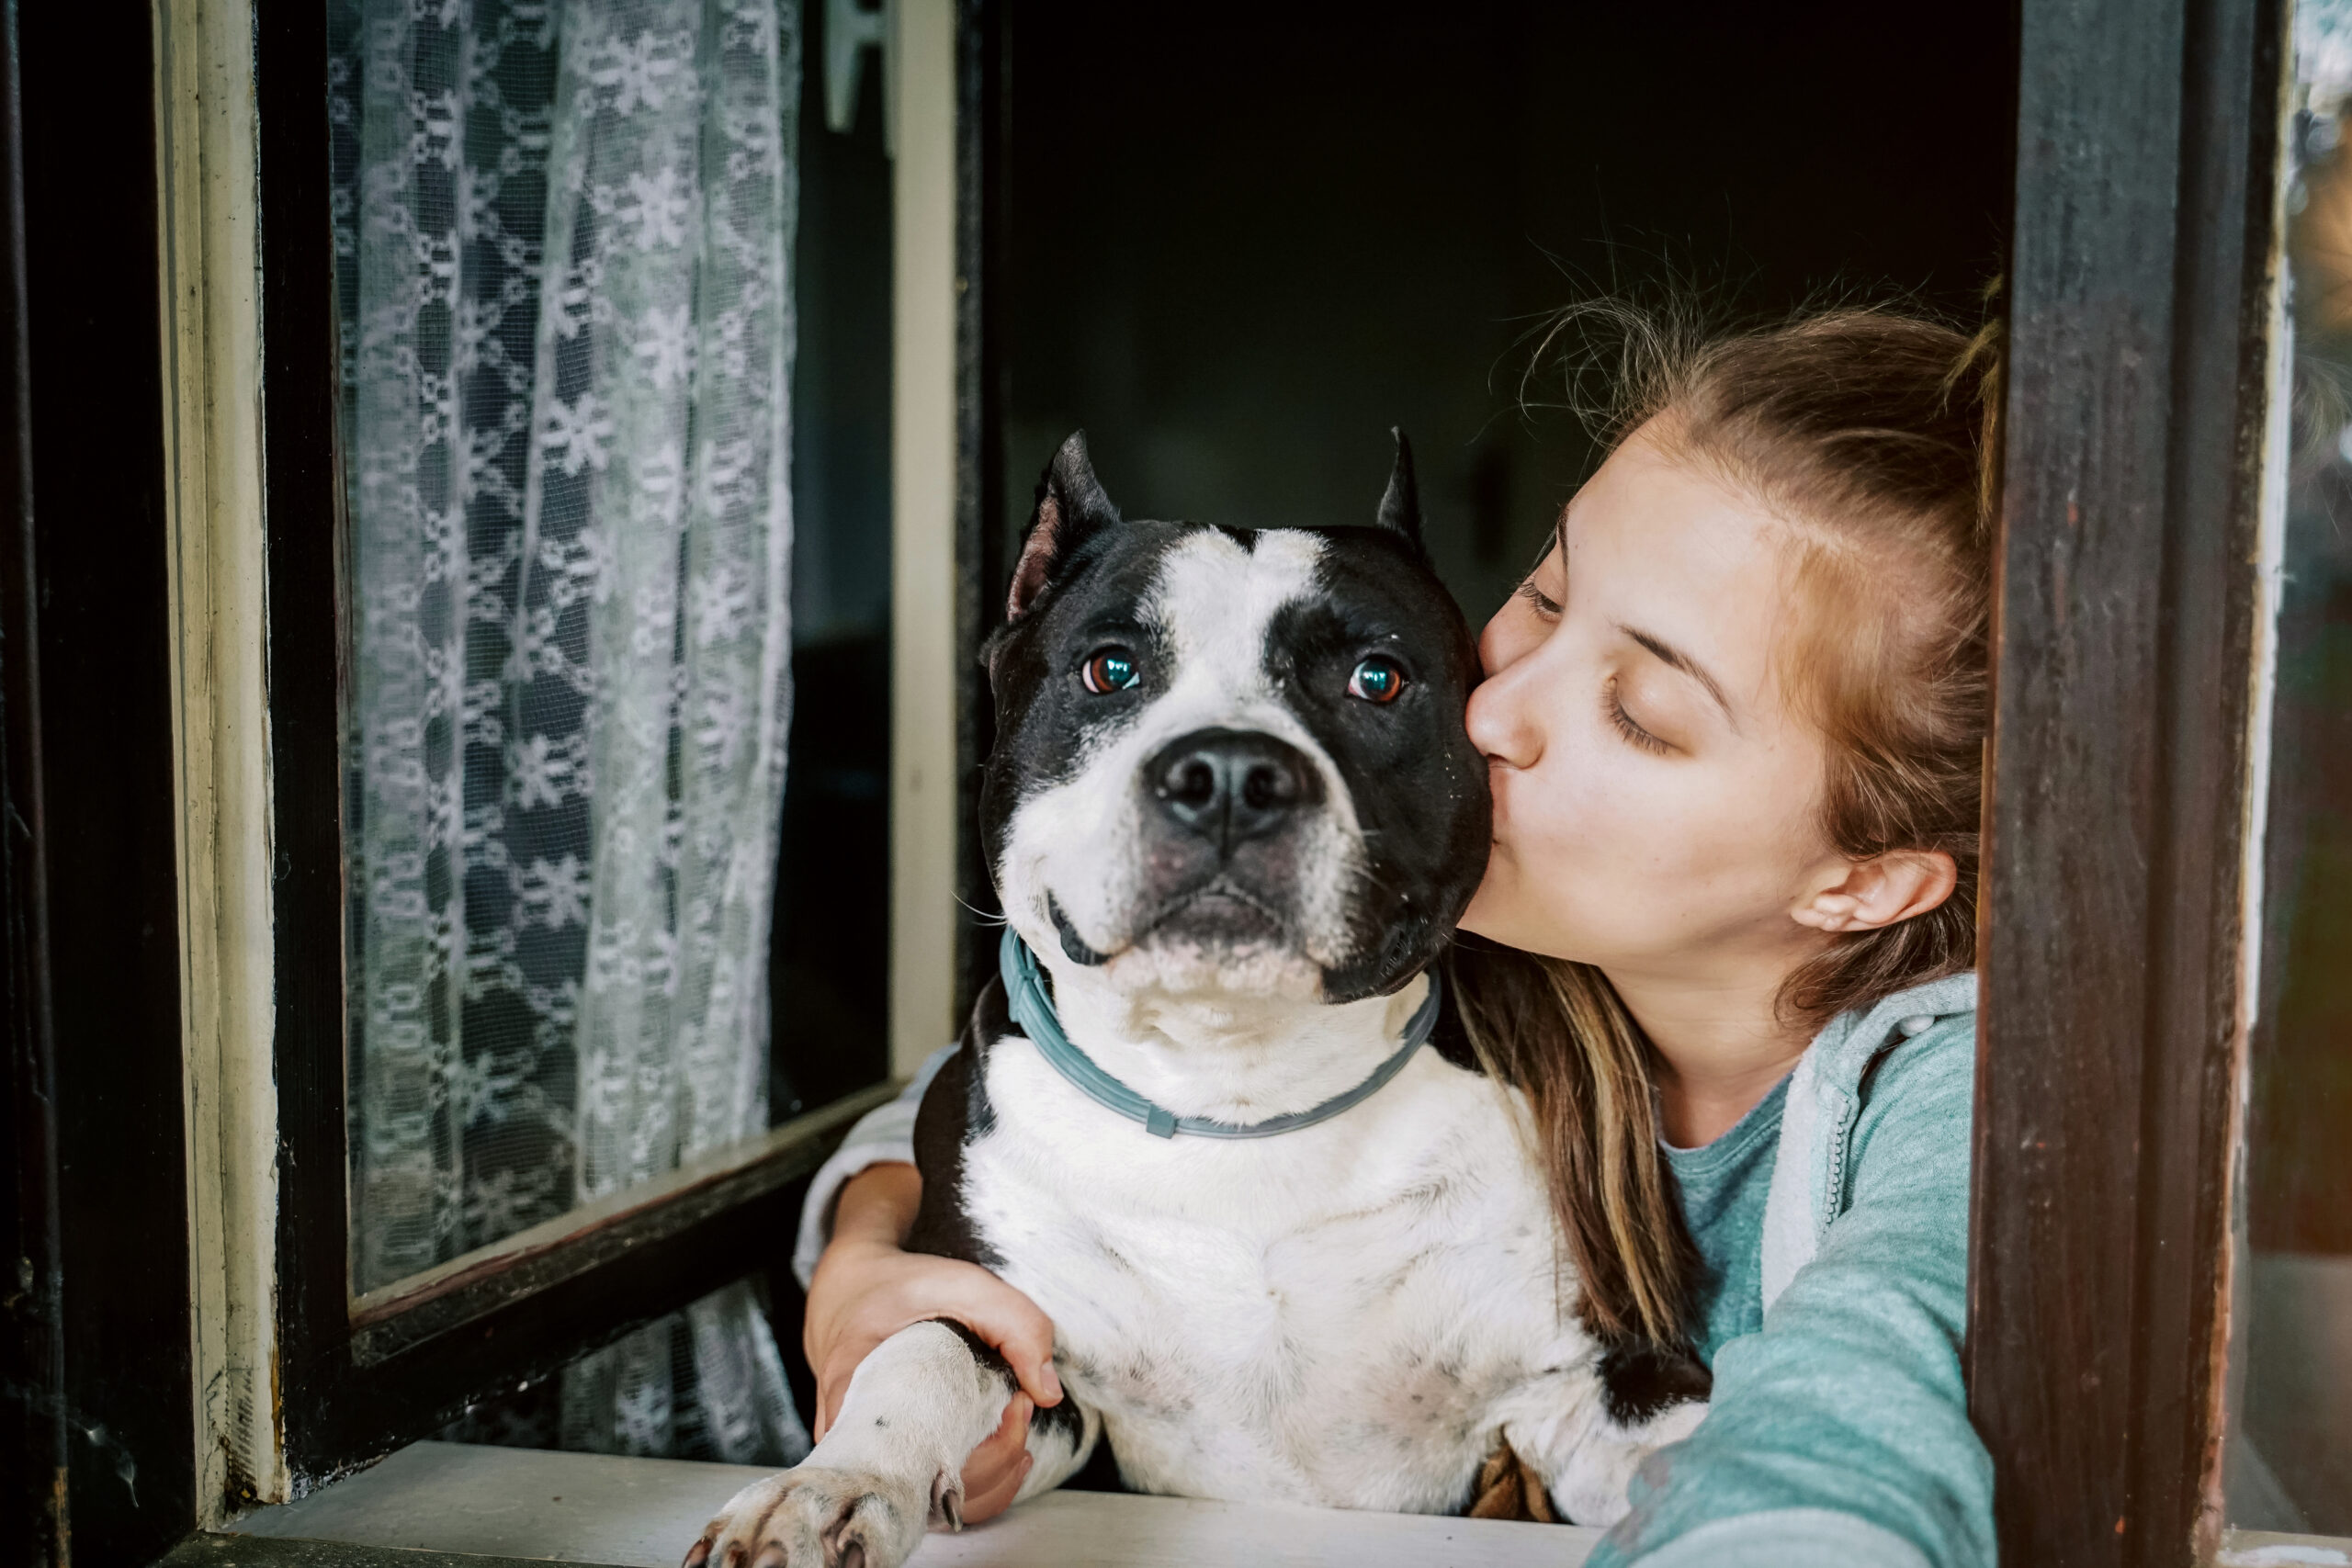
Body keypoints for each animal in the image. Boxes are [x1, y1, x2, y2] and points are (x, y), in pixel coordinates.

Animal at [686, 432, 1702, 1568]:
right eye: (1110, 669)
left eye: (1377, 677)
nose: (1226, 774)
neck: (1235, 1094)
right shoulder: (1024, 1353)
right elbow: (919, 1352)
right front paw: (827, 1488)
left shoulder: (1597, 1378)